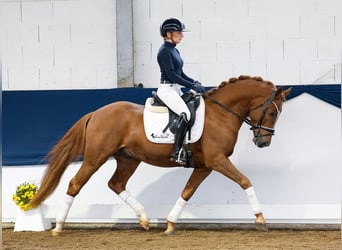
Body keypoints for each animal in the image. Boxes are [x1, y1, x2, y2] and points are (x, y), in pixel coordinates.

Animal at [30, 75, 292, 234]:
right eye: (271, 112)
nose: (263, 142)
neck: (221, 113)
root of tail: (96, 112)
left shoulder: (205, 165)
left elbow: (187, 192)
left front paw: (170, 223)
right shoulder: (217, 160)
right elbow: (245, 181)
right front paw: (261, 219)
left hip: (128, 159)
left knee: (116, 184)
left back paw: (144, 219)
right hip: (96, 157)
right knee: (75, 184)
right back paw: (58, 227)